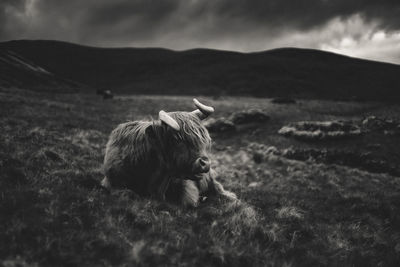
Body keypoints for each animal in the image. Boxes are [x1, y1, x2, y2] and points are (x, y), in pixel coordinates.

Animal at [101, 99, 236, 208]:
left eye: (204, 139)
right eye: (177, 140)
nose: (205, 163)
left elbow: (188, 201)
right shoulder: (110, 182)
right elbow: (127, 194)